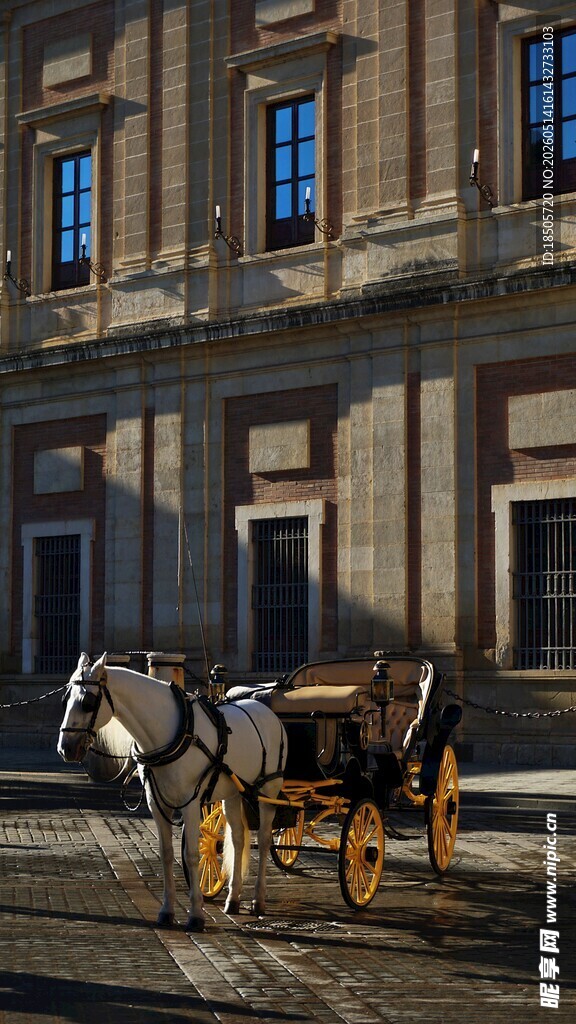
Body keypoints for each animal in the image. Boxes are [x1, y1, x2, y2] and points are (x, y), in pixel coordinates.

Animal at [57, 652, 287, 932]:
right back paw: (233, 899)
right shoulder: (156, 803)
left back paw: (258, 900)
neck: (172, 732)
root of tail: (267, 712)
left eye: (88, 702)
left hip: (269, 790)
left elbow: (191, 855)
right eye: (65, 699)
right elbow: (166, 854)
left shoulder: (191, 803)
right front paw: (166, 911)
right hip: (232, 794)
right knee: (238, 839)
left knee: (264, 841)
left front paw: (196, 914)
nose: (66, 748)